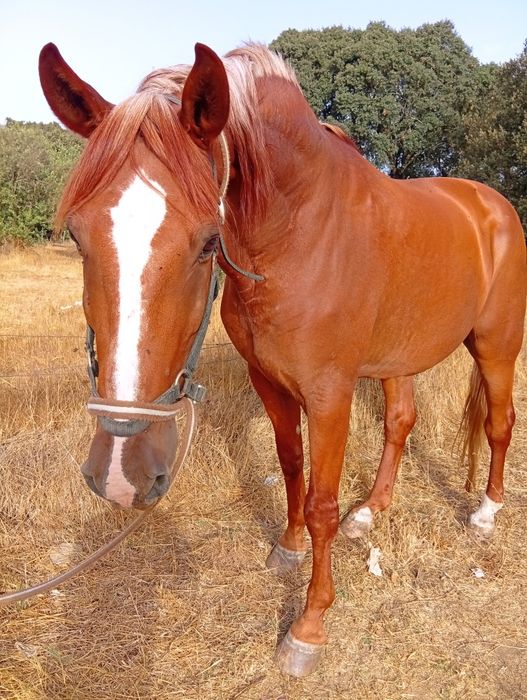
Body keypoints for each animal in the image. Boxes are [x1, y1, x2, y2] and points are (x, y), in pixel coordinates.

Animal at [38, 42, 526, 677]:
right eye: (77, 236)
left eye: (207, 241)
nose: (123, 475)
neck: (297, 233)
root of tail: (492, 205)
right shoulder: (269, 382)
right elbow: (292, 466)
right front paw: (288, 549)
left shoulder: (329, 394)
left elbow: (321, 503)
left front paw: (308, 627)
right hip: (399, 359)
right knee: (400, 424)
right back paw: (370, 513)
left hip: (497, 346)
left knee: (499, 423)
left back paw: (486, 513)